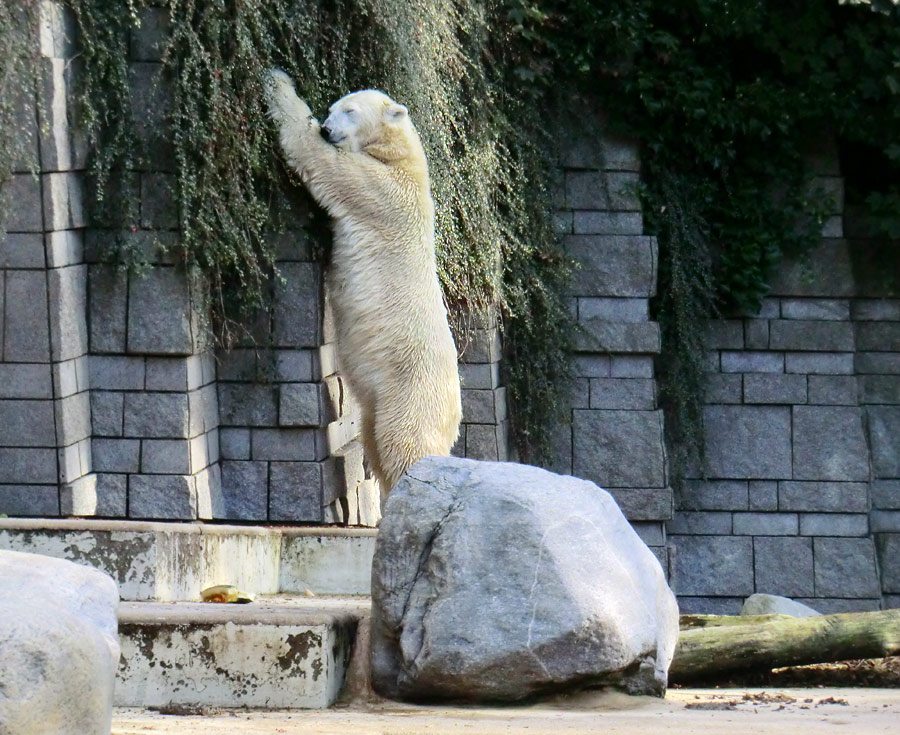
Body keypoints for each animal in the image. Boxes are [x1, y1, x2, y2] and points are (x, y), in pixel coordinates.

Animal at [266, 70, 464, 500]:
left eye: (350, 111)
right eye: (332, 108)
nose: (326, 128)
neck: (399, 155)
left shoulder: (380, 188)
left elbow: (321, 161)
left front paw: (276, 83)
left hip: (411, 393)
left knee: (405, 446)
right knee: (375, 442)